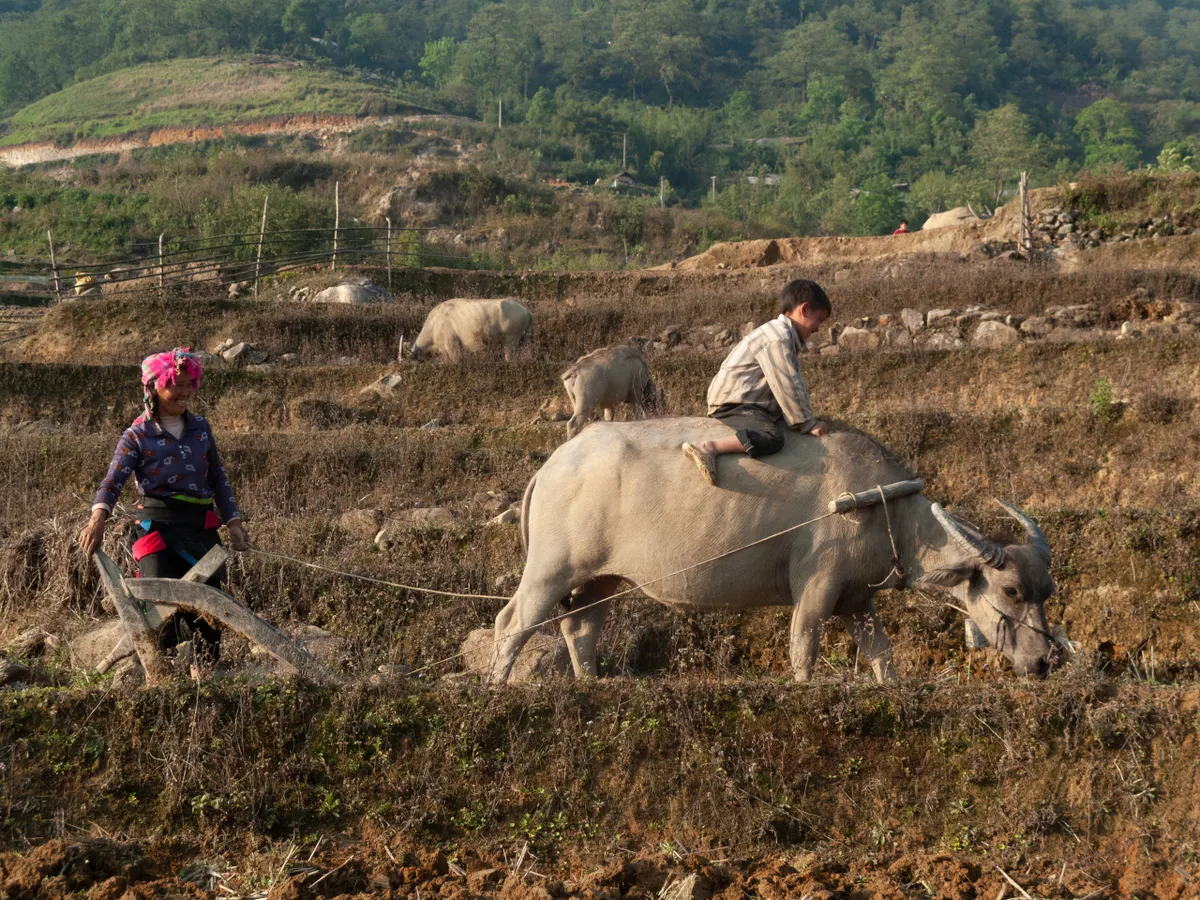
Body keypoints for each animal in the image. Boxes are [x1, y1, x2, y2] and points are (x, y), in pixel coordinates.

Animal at [492, 422, 1056, 681]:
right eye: (1011, 590)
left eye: (1046, 592)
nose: (1044, 661)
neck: (882, 506)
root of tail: (553, 464)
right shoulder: (818, 586)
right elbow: (803, 647)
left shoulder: (857, 598)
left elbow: (882, 653)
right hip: (550, 571)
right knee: (512, 624)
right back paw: (498, 684)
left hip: (598, 579)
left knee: (580, 628)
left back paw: (590, 682)